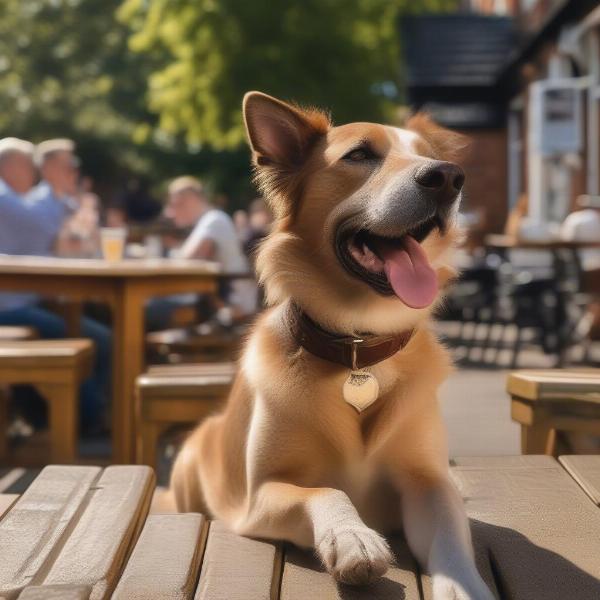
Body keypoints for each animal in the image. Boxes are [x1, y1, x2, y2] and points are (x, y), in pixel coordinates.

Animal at [171, 90, 494, 600]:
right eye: (359, 155)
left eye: (429, 155)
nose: (447, 176)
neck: (359, 345)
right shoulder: (261, 495)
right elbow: (326, 490)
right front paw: (352, 537)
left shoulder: (429, 483)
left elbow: (451, 540)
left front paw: (464, 587)